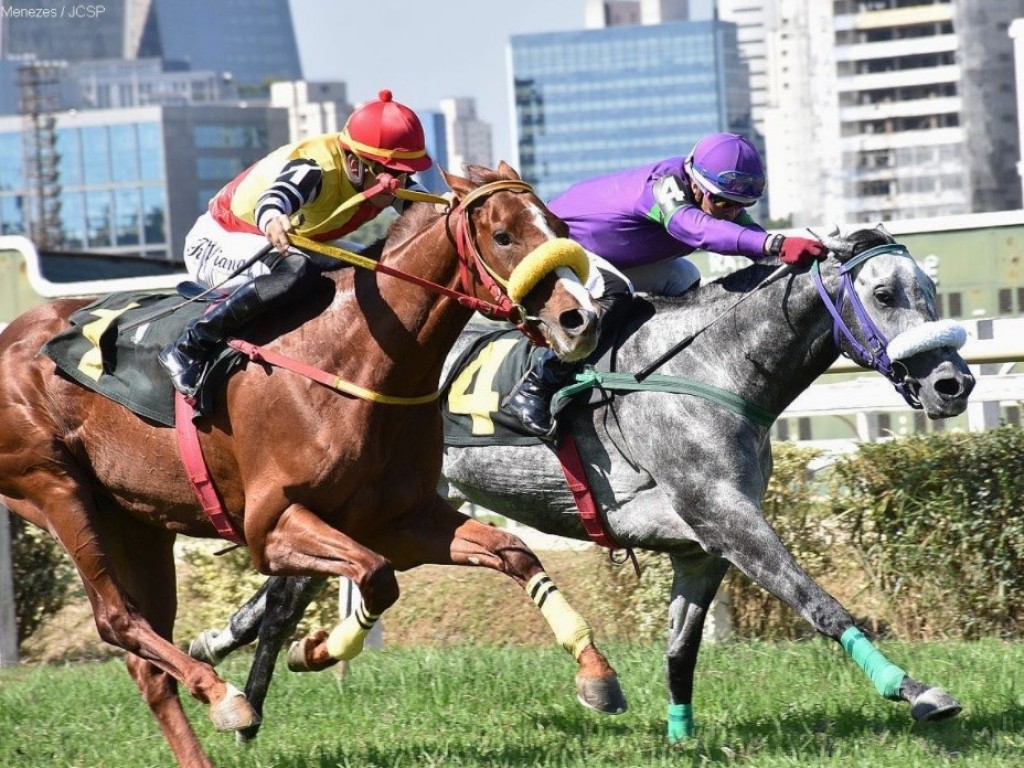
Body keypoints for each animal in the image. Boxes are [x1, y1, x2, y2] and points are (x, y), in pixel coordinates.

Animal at [0, 163, 622, 768]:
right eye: (503, 235)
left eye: (559, 227)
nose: (579, 320)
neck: (355, 358)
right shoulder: (273, 527)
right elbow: (375, 577)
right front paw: (315, 649)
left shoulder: (402, 519)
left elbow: (512, 553)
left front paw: (597, 675)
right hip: (56, 488)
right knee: (116, 620)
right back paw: (225, 697)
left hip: (139, 522)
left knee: (147, 661)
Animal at [186, 225, 974, 741]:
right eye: (883, 292)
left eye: (932, 292)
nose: (953, 383)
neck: (714, 369)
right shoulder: (723, 516)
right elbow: (818, 602)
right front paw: (913, 690)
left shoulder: (702, 546)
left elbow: (681, 647)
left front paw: (680, 734)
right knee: (286, 595)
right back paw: (248, 699)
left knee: (283, 593)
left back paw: (222, 648)